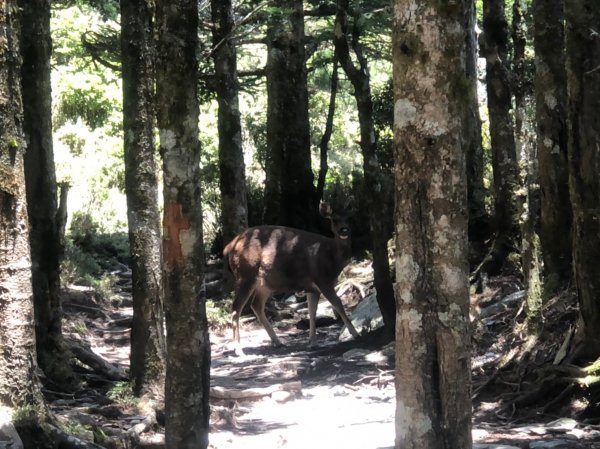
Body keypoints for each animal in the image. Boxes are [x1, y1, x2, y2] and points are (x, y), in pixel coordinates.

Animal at [223, 200, 358, 354]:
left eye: (350, 218)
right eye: (334, 219)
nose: (344, 230)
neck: (331, 257)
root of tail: (229, 246)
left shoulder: (312, 286)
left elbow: (312, 311)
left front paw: (312, 342)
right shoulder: (322, 279)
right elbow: (338, 304)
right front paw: (355, 334)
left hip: (265, 283)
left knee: (256, 304)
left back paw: (277, 341)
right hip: (246, 274)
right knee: (236, 307)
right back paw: (239, 349)